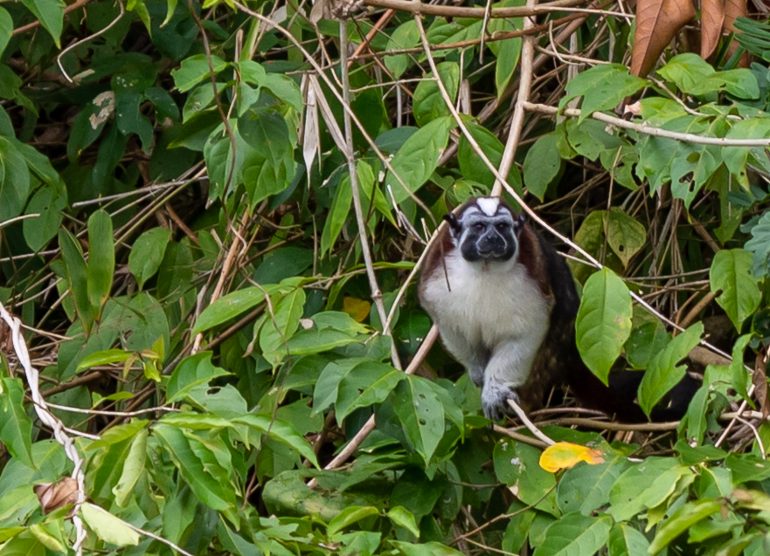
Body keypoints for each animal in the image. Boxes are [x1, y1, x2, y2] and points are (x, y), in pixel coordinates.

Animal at [418, 196, 698, 421]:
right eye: (478, 227)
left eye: (501, 227)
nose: (493, 239)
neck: (486, 268)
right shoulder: (436, 280)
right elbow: (450, 327)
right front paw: (477, 370)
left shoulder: (531, 281)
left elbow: (528, 331)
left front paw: (495, 389)